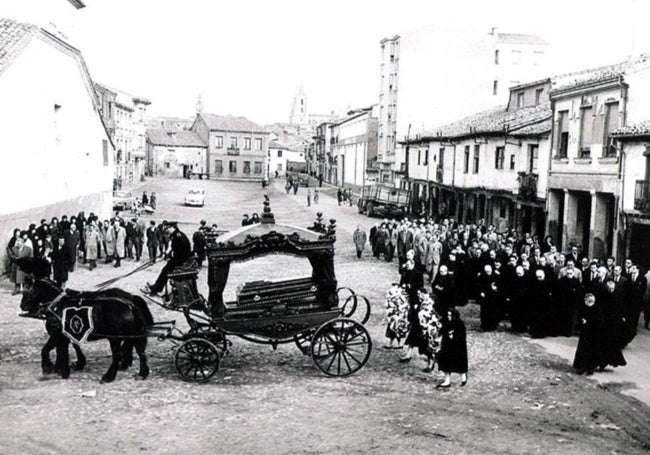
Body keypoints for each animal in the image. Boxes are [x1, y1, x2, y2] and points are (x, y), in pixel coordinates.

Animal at [21, 280, 153, 382]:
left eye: (27, 290)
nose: (22, 306)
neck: (56, 306)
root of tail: (130, 304)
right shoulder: (66, 335)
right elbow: (66, 349)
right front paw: (64, 367)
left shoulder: (56, 335)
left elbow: (47, 349)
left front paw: (49, 367)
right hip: (133, 334)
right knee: (140, 351)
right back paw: (141, 373)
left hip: (114, 338)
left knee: (118, 354)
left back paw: (109, 376)